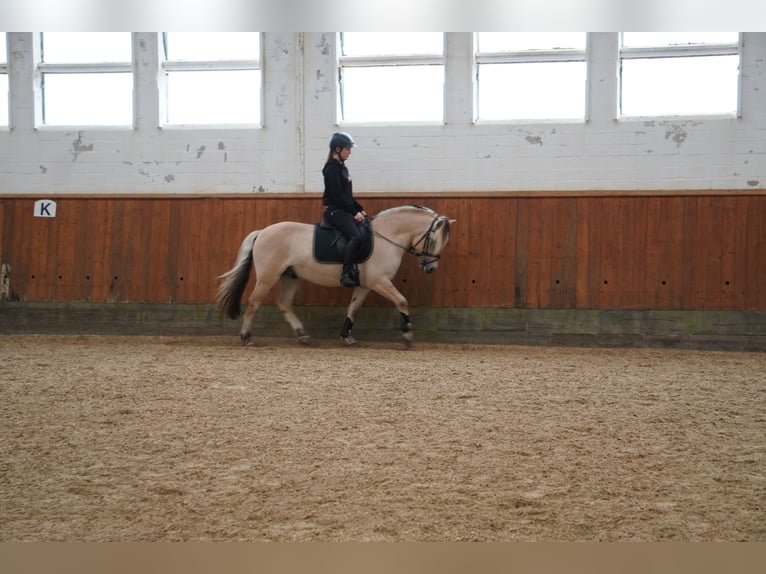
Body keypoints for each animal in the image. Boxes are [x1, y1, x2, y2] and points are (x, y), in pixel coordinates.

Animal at [214, 207, 456, 352]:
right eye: (433, 240)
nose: (430, 268)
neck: (387, 237)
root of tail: (262, 231)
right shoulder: (379, 281)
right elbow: (402, 301)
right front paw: (407, 336)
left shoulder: (366, 285)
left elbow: (353, 309)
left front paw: (346, 337)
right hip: (268, 275)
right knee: (254, 303)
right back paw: (246, 337)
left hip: (291, 276)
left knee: (283, 303)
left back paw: (303, 336)